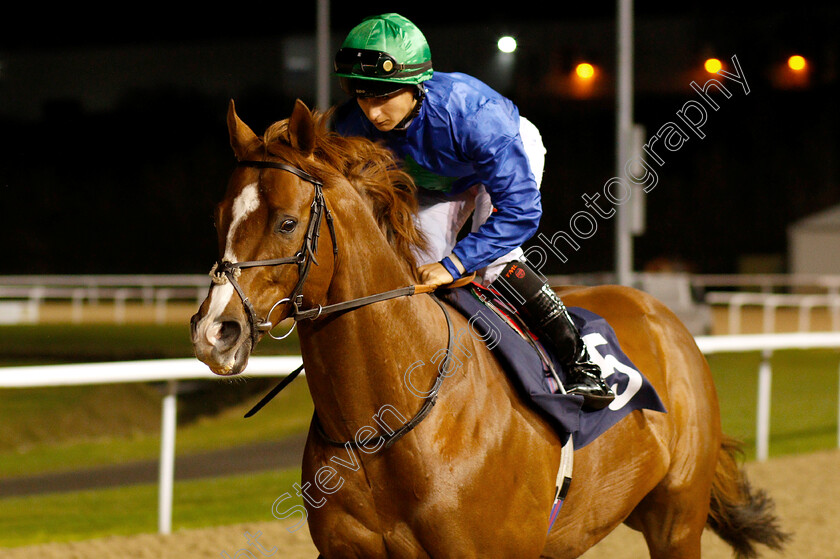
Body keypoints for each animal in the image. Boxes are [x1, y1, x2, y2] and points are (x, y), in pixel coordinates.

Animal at [192, 100, 788, 559]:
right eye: (219, 216)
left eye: (287, 222)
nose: (214, 332)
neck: (387, 425)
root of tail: (663, 315)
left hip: (677, 519)